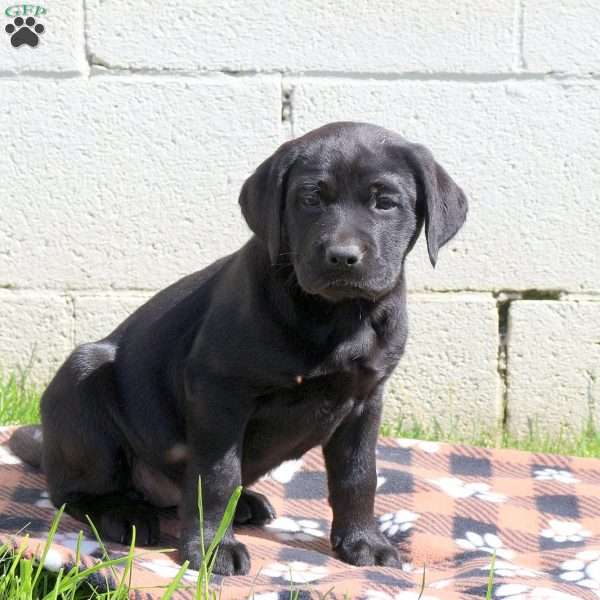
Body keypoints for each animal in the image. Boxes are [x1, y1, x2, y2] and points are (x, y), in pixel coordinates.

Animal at [10, 119, 468, 576]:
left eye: (385, 203)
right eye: (310, 199)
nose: (342, 256)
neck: (335, 315)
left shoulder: (365, 399)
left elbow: (358, 475)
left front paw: (363, 542)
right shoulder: (219, 391)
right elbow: (217, 475)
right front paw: (213, 548)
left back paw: (245, 504)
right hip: (83, 378)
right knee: (72, 493)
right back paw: (126, 513)